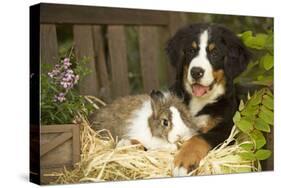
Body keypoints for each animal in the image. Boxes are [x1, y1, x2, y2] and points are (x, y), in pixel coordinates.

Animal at [165, 23, 250, 175]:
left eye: (214, 54)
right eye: (191, 51)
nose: (196, 72)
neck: (199, 102)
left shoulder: (225, 130)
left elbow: (199, 137)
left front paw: (184, 161)